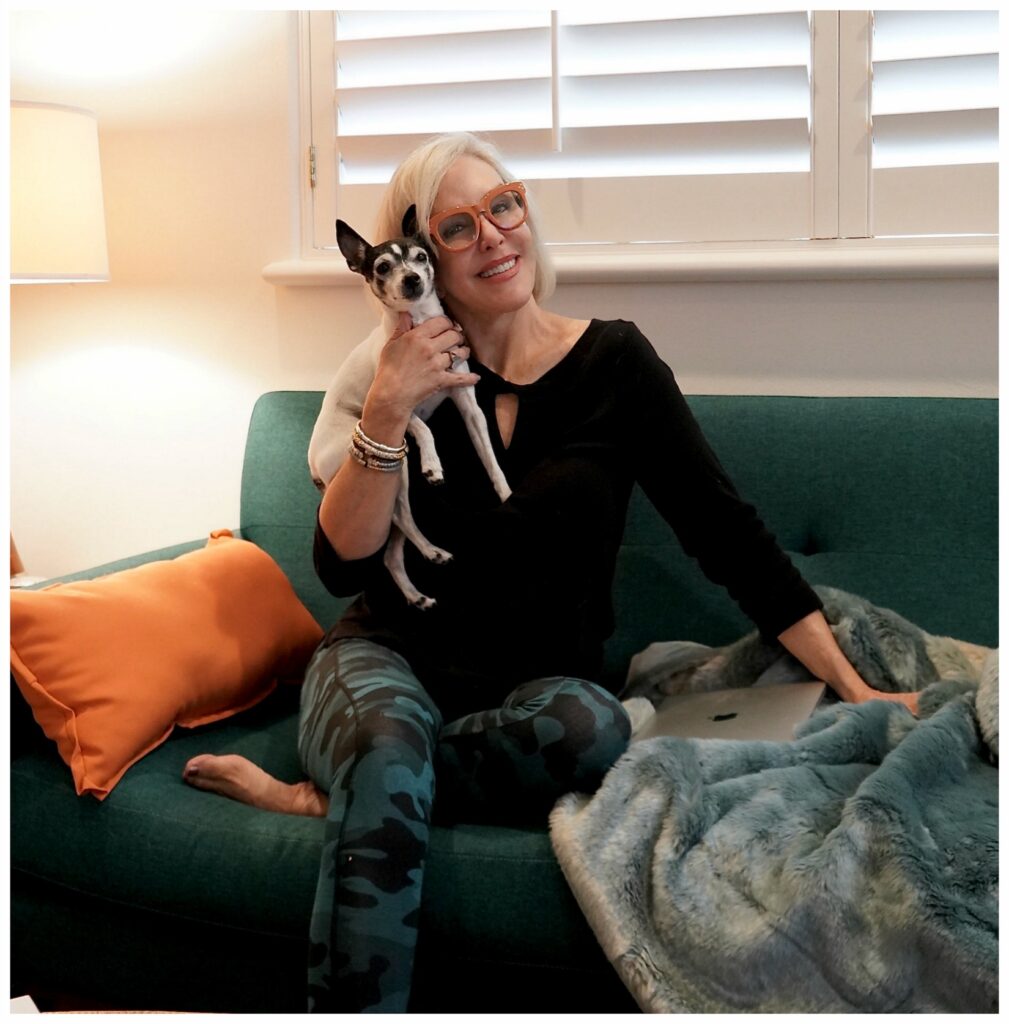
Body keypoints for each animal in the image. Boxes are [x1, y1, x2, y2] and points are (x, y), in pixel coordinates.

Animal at [307, 205, 512, 606]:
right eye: (383, 267)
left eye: (421, 257)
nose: (413, 279)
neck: (419, 324)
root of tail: (312, 458)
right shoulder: (401, 405)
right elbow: (424, 428)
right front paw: (433, 464)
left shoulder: (468, 405)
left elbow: (491, 460)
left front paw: (506, 492)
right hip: (394, 465)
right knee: (402, 516)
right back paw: (432, 549)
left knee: (391, 551)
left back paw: (417, 589)